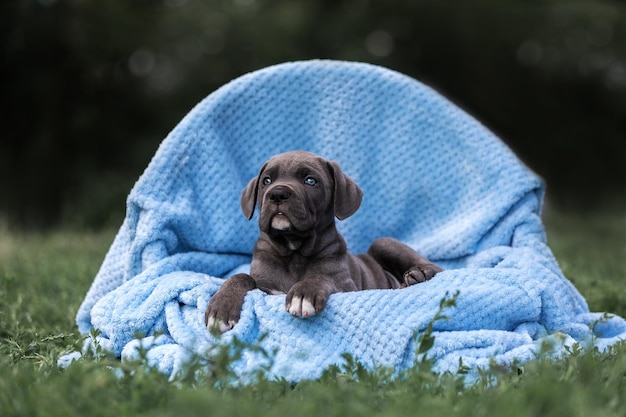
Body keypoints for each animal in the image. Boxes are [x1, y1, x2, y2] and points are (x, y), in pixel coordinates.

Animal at [205, 150, 438, 332]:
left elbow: (322, 277)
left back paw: (417, 275)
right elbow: (240, 276)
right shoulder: (265, 285)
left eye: (310, 181)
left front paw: (303, 293)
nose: (278, 194)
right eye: (267, 181)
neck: (294, 250)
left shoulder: (349, 287)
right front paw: (221, 307)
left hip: (382, 243)